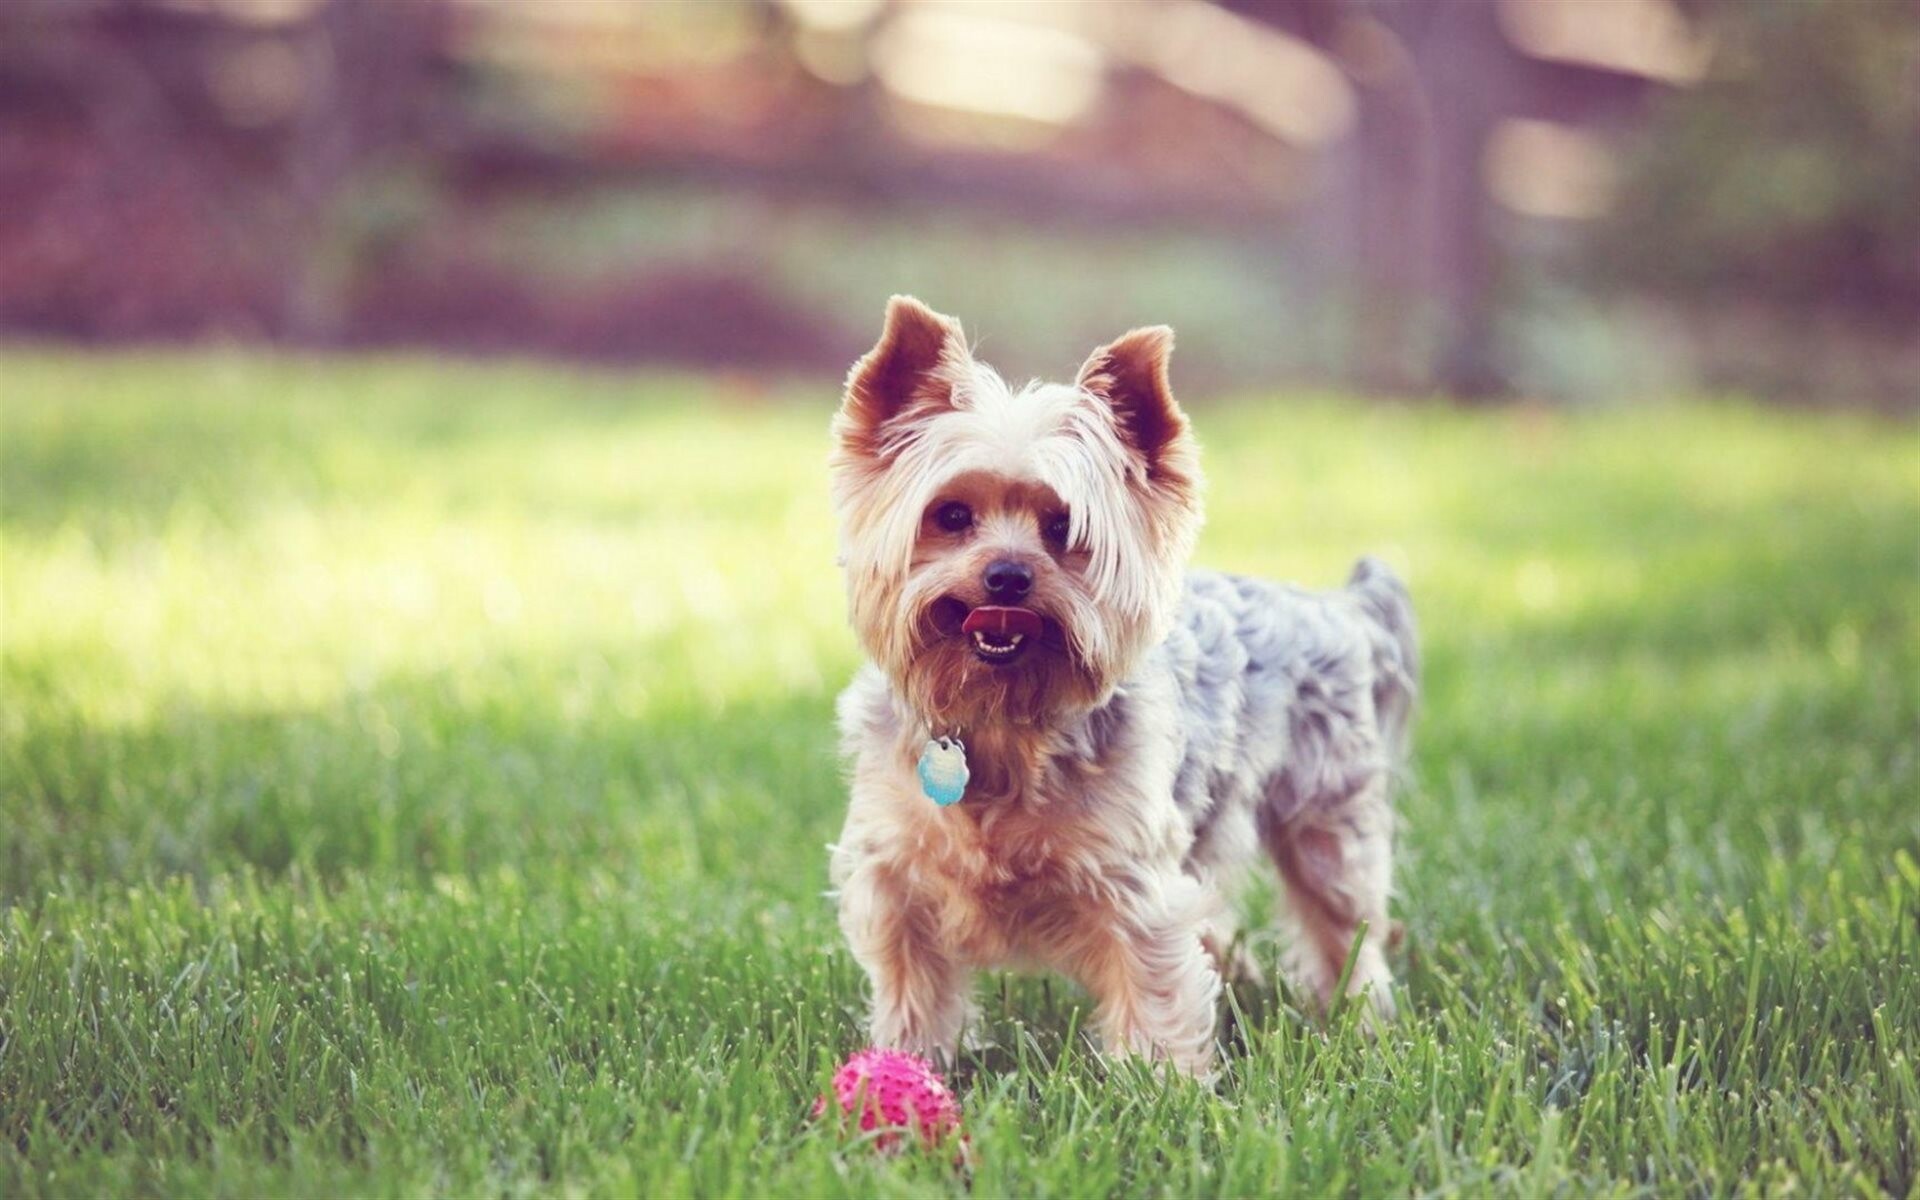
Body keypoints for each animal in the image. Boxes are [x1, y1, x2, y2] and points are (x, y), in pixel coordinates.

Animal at [821, 295, 1413, 1075]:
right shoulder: (895, 875)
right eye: (950, 515)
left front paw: (1159, 1087)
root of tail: (1336, 606)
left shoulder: (1135, 882)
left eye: (1063, 525)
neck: (1000, 718)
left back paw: (1360, 1019)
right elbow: (911, 982)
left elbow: (1155, 984)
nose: (1007, 576)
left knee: (1343, 922)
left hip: (1327, 816)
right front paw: (907, 1061)